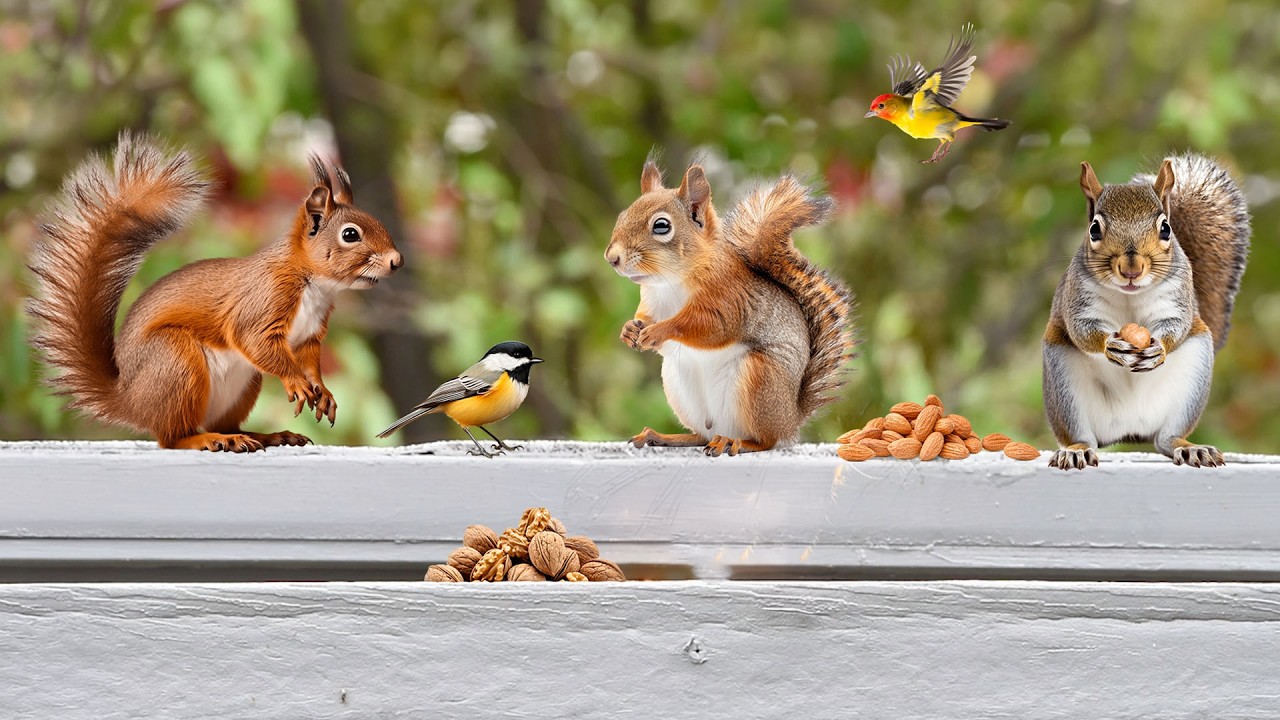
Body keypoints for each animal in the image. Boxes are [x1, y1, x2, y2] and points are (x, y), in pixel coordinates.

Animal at [27, 132, 403, 452]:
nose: (396, 261)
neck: (316, 285)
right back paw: (209, 440)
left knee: (222, 423)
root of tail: (130, 401)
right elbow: (254, 339)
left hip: (243, 385)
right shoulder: (263, 300)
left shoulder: (310, 334)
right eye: (350, 235)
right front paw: (296, 382)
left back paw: (263, 436)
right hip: (176, 362)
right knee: (172, 437)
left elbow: (309, 360)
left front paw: (321, 391)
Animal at [604, 157, 854, 456]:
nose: (612, 258)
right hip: (679, 387)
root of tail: (791, 419)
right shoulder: (651, 303)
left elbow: (709, 327)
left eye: (662, 226)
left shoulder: (731, 300)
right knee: (701, 435)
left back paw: (734, 442)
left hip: (760, 380)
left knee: (765, 441)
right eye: (621, 217)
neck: (670, 282)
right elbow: (646, 320)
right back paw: (664, 436)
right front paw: (630, 330)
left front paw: (659, 331)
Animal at [1043, 153, 1250, 469]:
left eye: (1166, 228)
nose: (1132, 268)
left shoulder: (1176, 298)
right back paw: (1076, 450)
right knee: (1083, 437)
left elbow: (1177, 324)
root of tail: (1129, 429)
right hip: (1064, 388)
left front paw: (1158, 349)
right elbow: (1082, 330)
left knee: (1166, 439)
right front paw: (1112, 345)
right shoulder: (1078, 298)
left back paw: (1190, 449)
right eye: (1094, 229)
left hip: (1192, 378)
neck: (1130, 295)